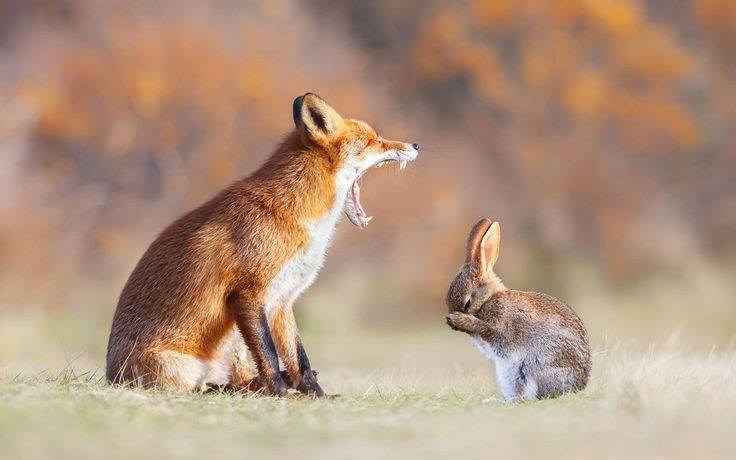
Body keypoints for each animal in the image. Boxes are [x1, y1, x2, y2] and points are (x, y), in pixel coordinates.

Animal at [108, 92, 420, 396]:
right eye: (374, 141)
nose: (416, 144)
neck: (298, 215)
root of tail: (111, 376)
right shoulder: (248, 293)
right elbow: (269, 354)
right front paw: (280, 393)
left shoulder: (283, 299)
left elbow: (299, 358)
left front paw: (315, 394)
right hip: (182, 366)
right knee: (203, 387)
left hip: (234, 345)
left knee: (240, 377)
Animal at [442, 217, 592, 400]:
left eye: (467, 303)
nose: (451, 323)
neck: (489, 298)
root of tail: (578, 387)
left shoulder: (500, 325)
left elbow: (487, 329)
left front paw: (460, 320)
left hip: (532, 368)